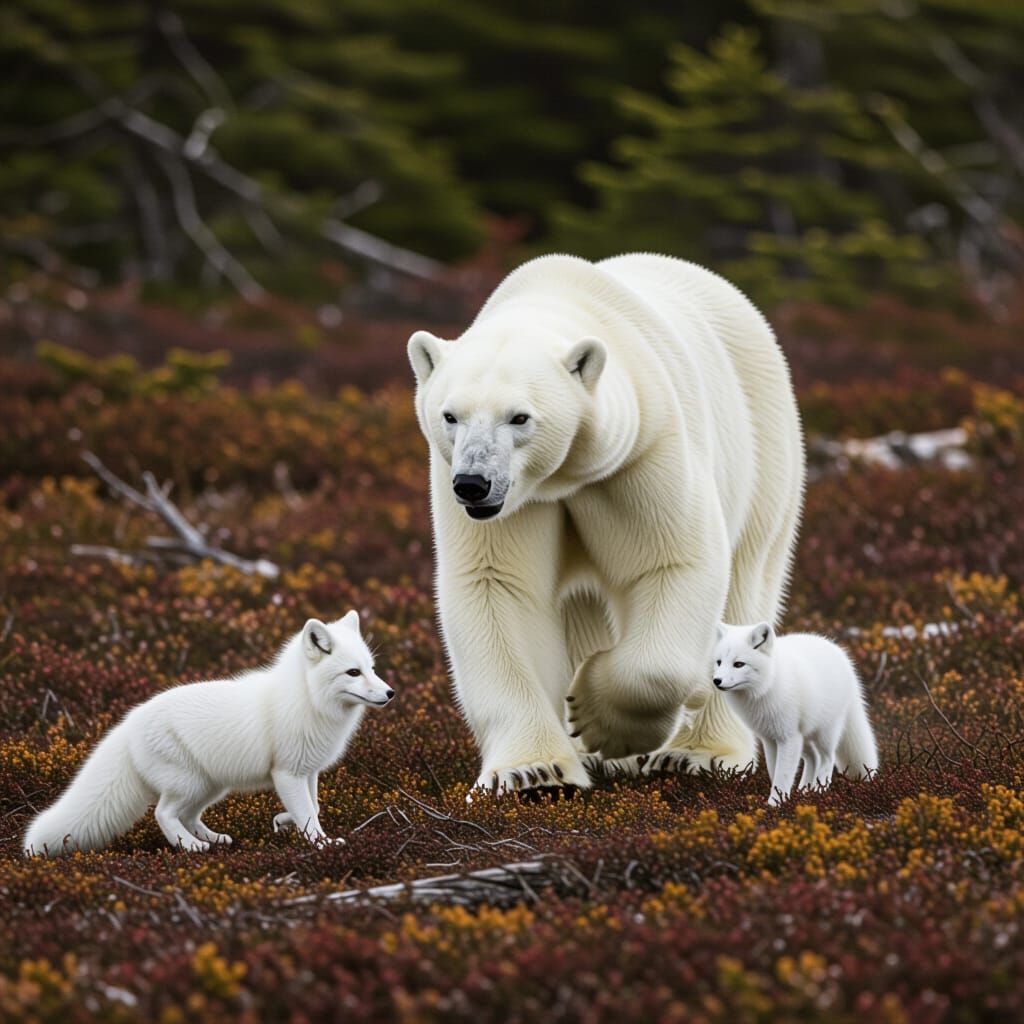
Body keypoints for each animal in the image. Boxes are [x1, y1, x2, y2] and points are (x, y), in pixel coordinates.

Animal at [23, 611, 393, 857]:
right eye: (353, 672)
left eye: (372, 668)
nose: (390, 693)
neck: (307, 700)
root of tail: (128, 723)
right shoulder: (287, 773)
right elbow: (308, 815)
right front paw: (321, 844)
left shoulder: (308, 771)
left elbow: (312, 808)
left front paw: (283, 821)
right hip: (188, 783)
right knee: (164, 813)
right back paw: (191, 846)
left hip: (211, 785)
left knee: (187, 815)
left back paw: (214, 839)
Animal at [408, 253, 805, 793]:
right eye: (450, 415)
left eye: (519, 417)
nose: (473, 483)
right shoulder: (513, 504)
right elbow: (498, 586)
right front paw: (536, 772)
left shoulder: (641, 451)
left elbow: (673, 562)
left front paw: (598, 720)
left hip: (764, 451)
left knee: (746, 581)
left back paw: (697, 752)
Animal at [712, 622, 878, 805]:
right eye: (719, 662)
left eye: (739, 664)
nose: (716, 681)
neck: (768, 685)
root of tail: (842, 656)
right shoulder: (770, 739)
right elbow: (773, 771)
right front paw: (782, 799)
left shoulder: (788, 738)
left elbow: (782, 775)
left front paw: (775, 804)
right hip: (804, 738)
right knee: (814, 758)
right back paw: (804, 791)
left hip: (824, 734)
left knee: (828, 759)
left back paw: (819, 791)